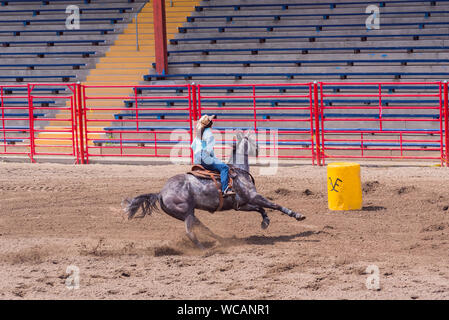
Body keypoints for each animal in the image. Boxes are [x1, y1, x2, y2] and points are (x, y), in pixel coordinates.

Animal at [122, 129, 304, 249]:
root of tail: (161, 192)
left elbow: (260, 209)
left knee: (203, 228)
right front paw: (297, 215)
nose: (259, 150)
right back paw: (204, 250)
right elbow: (273, 205)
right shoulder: (253, 196)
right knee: (190, 232)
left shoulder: (241, 204)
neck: (238, 171)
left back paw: (220, 241)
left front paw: (265, 221)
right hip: (186, 213)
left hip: (187, 214)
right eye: (253, 141)